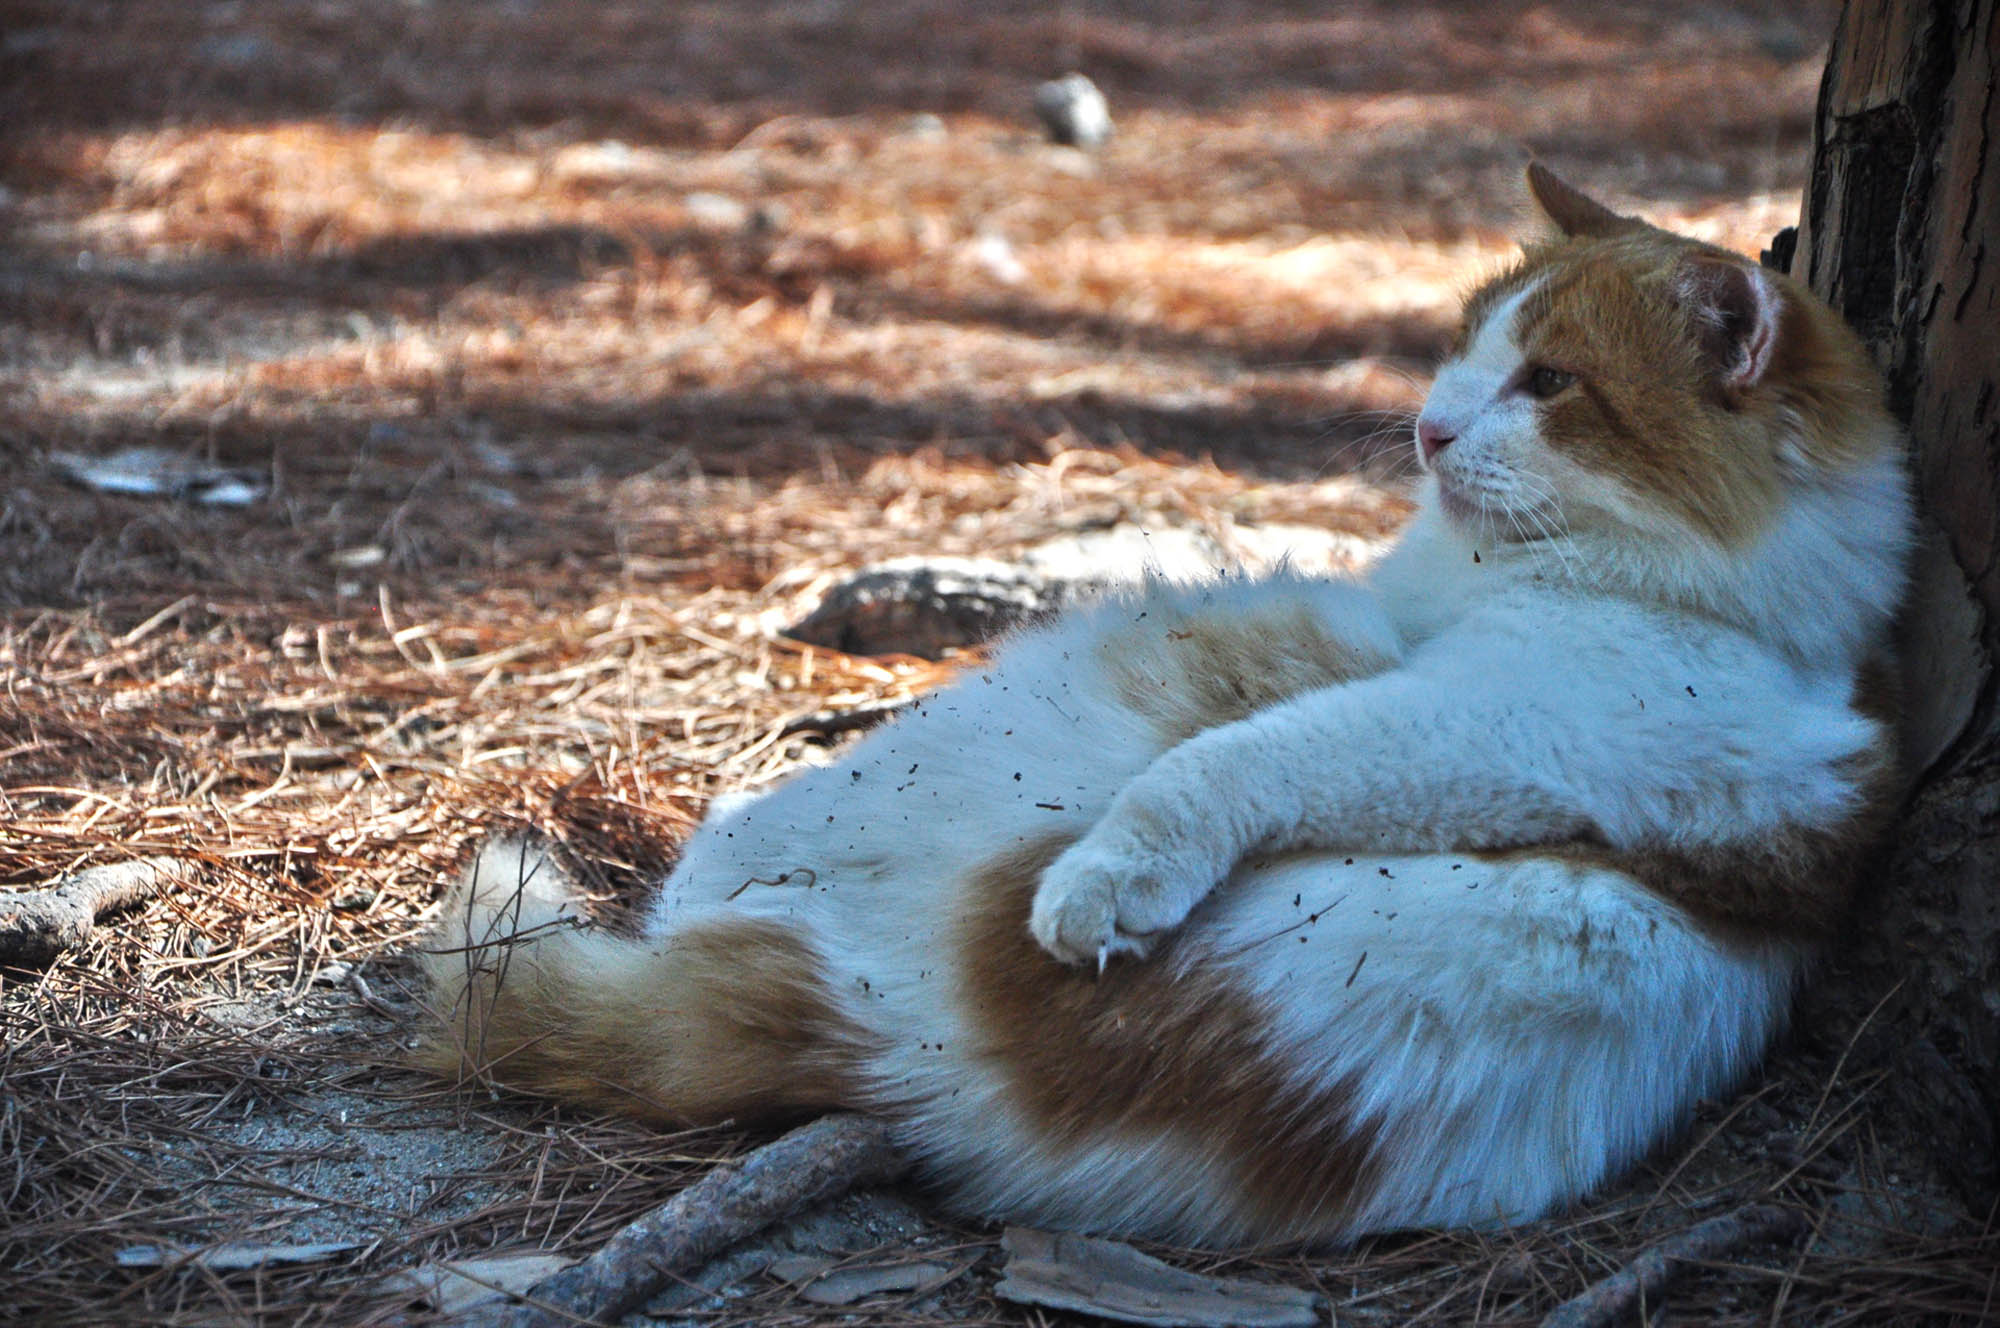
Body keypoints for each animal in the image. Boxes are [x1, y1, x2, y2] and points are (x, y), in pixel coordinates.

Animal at [414, 166, 1912, 1248]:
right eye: (1463, 348)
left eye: (1548, 383)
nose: (1427, 430)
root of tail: (884, 1047)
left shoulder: (1485, 724)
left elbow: (1226, 770)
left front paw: (1110, 882)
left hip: (1099, 680)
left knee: (730, 864)